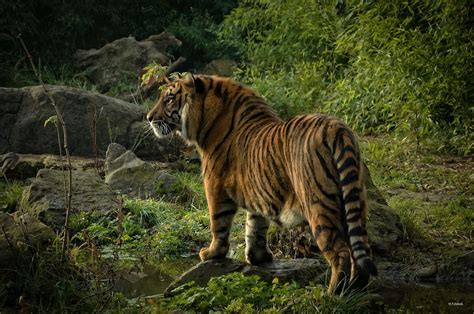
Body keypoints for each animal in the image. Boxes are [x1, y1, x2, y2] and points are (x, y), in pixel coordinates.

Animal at [146, 73, 376, 294]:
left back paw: (333, 294)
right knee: (362, 248)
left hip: (318, 203)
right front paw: (258, 257)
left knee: (340, 252)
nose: (149, 118)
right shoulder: (258, 192)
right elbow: (255, 226)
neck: (207, 119)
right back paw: (358, 289)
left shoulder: (215, 186)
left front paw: (212, 253)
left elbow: (218, 223)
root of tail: (337, 128)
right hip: (356, 199)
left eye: (169, 98)